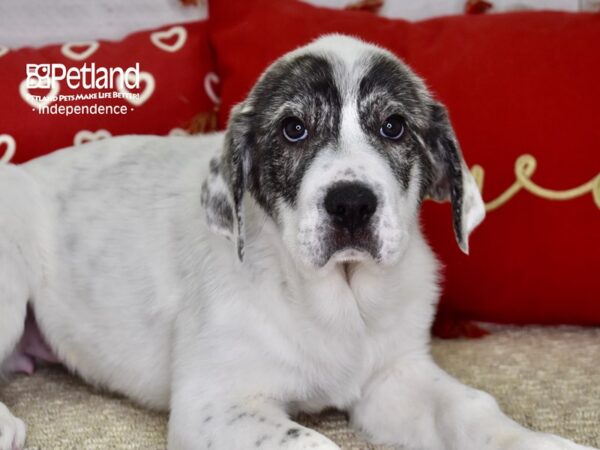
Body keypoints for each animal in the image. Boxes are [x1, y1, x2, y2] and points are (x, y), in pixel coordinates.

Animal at [0, 34, 596, 450]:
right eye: (293, 130)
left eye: (395, 127)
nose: (351, 204)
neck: (337, 299)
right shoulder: (213, 402)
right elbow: (309, 440)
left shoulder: (395, 376)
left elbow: (470, 408)